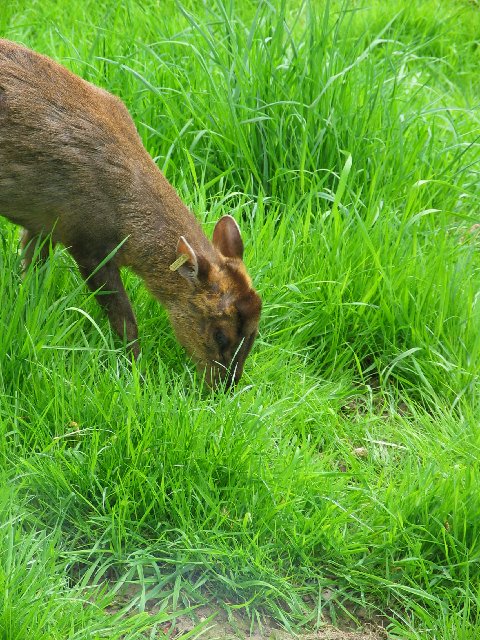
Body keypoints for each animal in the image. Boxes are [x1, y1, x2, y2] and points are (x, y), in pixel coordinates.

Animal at [0, 41, 260, 390]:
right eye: (221, 335)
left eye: (255, 334)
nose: (225, 388)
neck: (125, 218)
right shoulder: (87, 242)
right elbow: (126, 321)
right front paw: (137, 373)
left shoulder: (44, 223)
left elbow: (30, 273)